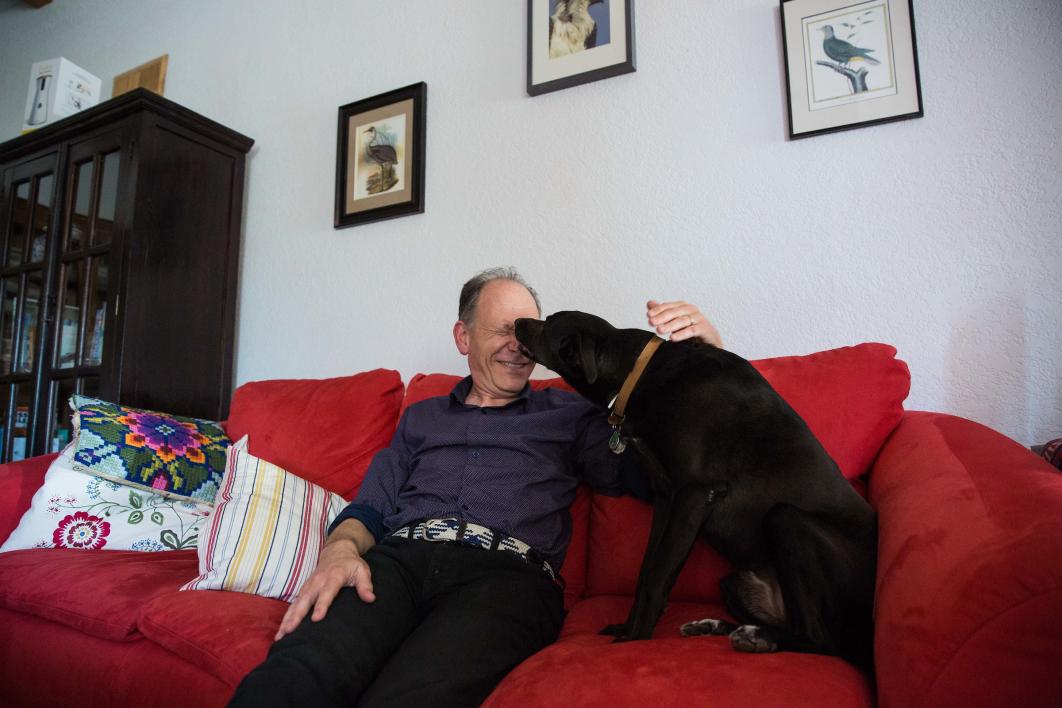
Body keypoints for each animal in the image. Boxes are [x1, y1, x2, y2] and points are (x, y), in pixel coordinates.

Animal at [516, 312, 879, 666]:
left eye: (549, 323)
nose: (517, 322)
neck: (641, 374)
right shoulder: (665, 497)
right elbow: (647, 570)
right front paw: (629, 627)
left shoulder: (694, 493)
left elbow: (657, 575)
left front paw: (635, 639)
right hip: (733, 582)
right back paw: (718, 627)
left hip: (788, 520)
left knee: (818, 640)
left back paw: (757, 638)